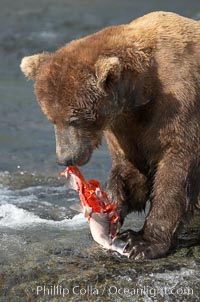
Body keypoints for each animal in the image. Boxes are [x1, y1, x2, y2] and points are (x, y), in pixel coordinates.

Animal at [20, 10, 200, 258]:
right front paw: (111, 209)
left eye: (74, 119)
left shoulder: (181, 104)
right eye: (51, 118)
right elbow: (131, 169)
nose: (65, 158)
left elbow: (177, 169)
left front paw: (142, 242)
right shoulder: (125, 126)